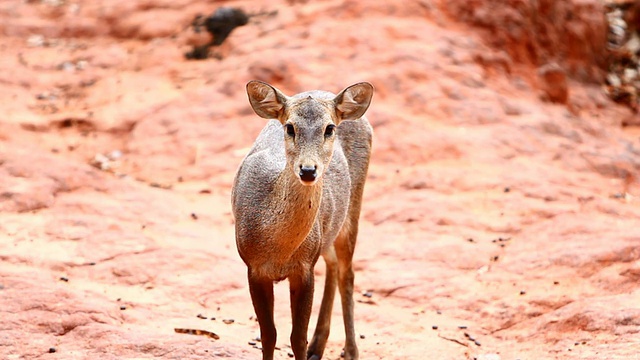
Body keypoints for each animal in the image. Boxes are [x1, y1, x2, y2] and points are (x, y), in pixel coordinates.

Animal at [230, 79, 372, 360]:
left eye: (329, 128)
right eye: (289, 127)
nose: (308, 170)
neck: (279, 250)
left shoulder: (304, 269)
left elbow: (297, 338)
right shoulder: (254, 268)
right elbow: (269, 334)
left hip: (352, 210)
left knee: (347, 273)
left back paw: (351, 351)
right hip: (327, 231)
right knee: (333, 264)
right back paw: (319, 345)